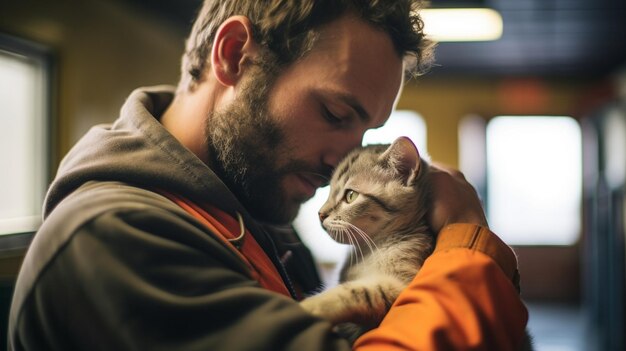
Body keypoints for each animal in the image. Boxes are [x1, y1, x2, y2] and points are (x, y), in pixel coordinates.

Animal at [300, 138, 432, 332]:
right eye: (329, 192)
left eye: (350, 196)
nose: (320, 214)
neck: (370, 249)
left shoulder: (401, 286)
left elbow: (357, 292)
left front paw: (308, 306)